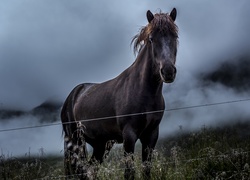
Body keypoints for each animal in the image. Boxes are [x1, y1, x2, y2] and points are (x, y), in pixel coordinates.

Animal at [60, 7, 178, 179]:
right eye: (151, 38)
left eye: (175, 36)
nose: (168, 71)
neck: (143, 91)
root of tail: (73, 94)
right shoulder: (129, 136)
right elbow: (129, 172)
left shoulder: (151, 135)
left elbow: (146, 170)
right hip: (76, 142)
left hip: (100, 145)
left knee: (90, 170)